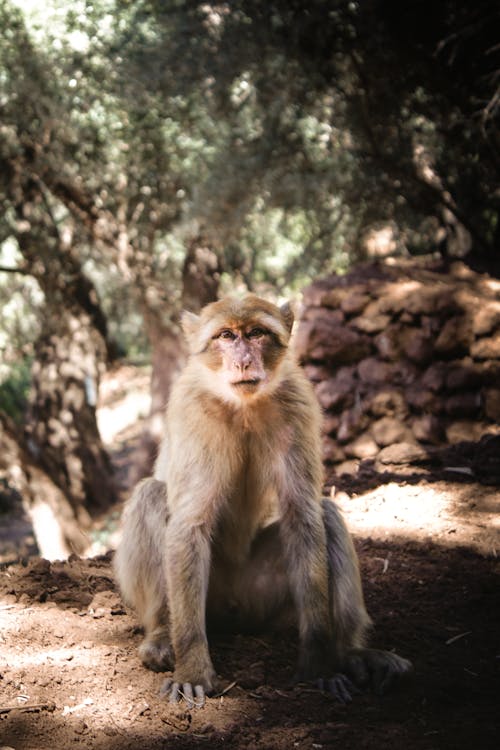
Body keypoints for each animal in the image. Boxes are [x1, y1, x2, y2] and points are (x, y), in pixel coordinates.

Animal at [115, 296, 412, 712]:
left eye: (256, 333)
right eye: (226, 336)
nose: (243, 361)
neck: (243, 405)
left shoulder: (298, 405)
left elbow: (303, 515)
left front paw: (319, 664)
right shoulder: (192, 409)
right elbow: (189, 524)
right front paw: (193, 670)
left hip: (261, 598)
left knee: (326, 514)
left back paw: (352, 652)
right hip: (210, 597)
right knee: (152, 495)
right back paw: (160, 636)